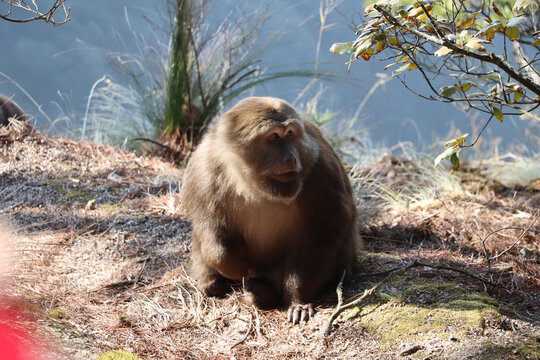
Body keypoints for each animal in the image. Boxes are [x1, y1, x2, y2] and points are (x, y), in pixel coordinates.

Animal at [180, 96, 358, 324]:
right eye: (274, 136)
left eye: (289, 134)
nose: (291, 158)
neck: (252, 182)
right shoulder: (204, 167)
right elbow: (208, 225)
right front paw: (232, 266)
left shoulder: (322, 169)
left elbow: (325, 230)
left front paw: (298, 299)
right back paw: (213, 282)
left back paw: (261, 293)